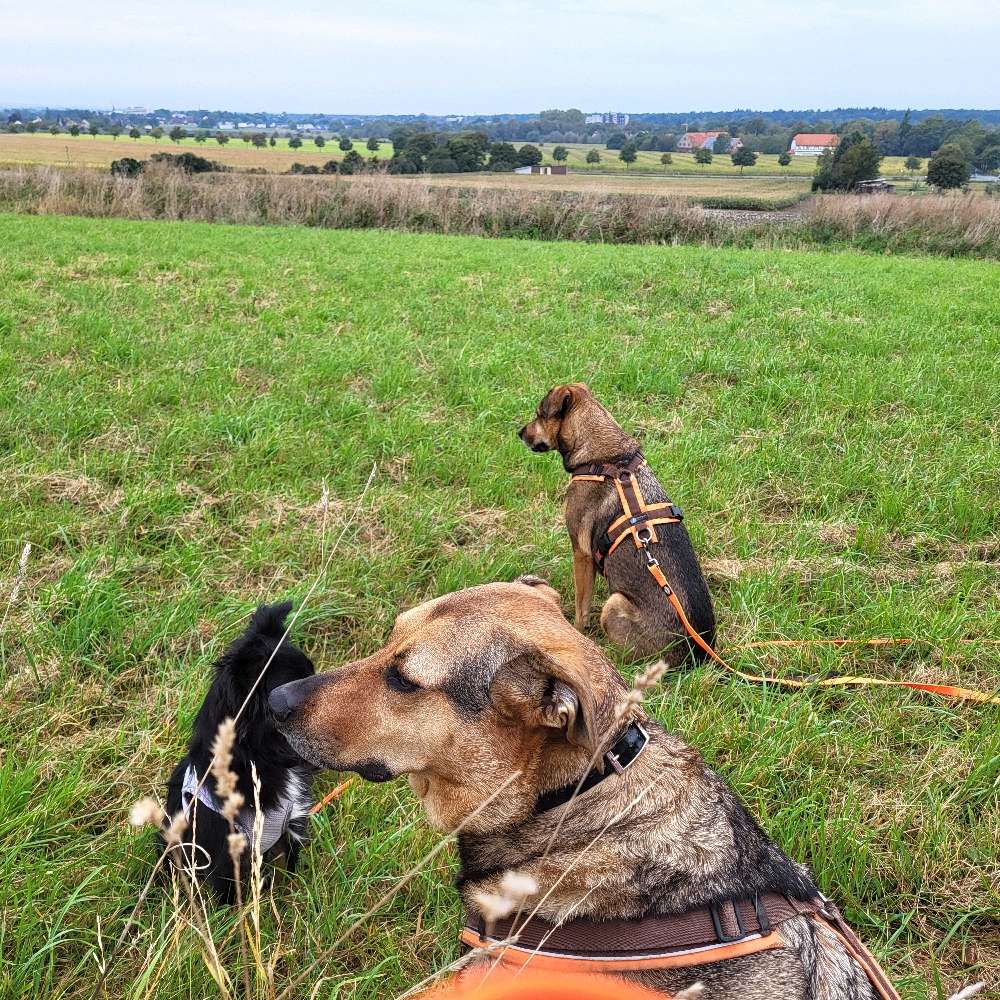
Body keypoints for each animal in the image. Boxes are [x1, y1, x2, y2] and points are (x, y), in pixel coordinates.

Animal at [162, 600, 316, 908]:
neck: (261, 759)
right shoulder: (225, 853)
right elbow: (228, 894)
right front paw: (233, 917)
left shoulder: (291, 824)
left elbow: (291, 867)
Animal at [520, 382, 716, 664]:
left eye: (539, 414)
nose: (519, 433)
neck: (609, 458)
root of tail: (694, 655)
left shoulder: (581, 554)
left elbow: (581, 606)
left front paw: (578, 632)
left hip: (614, 603)